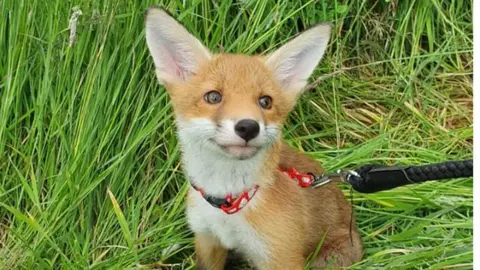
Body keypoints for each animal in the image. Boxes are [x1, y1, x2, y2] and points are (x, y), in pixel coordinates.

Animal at [144, 6, 362, 270]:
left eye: (265, 101)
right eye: (213, 97)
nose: (248, 127)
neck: (230, 204)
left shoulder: (281, 257)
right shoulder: (207, 240)